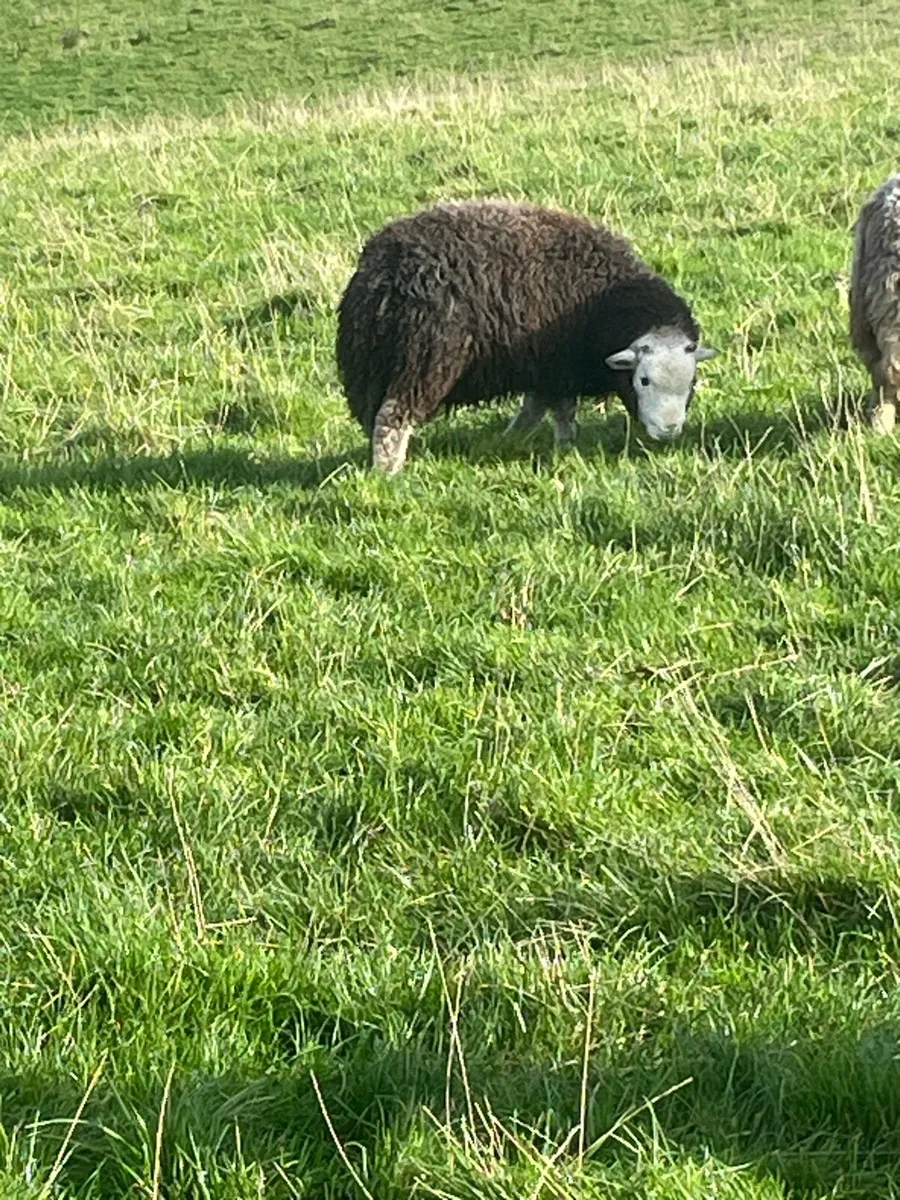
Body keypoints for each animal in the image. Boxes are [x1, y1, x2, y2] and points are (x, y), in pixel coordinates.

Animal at [335, 199, 718, 473]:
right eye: (643, 380)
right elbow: (561, 412)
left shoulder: (546, 366)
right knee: (392, 418)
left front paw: (510, 439)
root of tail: (383, 275)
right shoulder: (560, 364)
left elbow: (534, 408)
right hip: (422, 359)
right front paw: (564, 446)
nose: (668, 431)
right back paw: (388, 474)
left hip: (373, 366)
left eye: (691, 382)